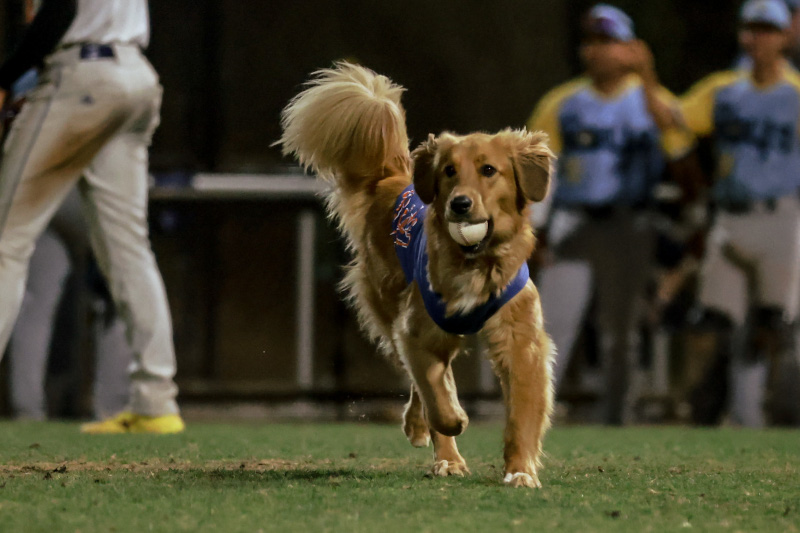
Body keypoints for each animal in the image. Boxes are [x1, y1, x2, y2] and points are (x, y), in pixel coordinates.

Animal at [282, 62, 556, 486]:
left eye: (488, 170)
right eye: (449, 172)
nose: (460, 204)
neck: (475, 263)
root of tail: (391, 178)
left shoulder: (521, 341)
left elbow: (523, 413)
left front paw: (520, 470)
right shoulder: (415, 331)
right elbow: (435, 394)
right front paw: (451, 422)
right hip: (388, 307)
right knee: (422, 383)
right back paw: (439, 446)